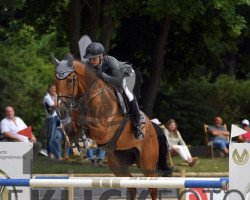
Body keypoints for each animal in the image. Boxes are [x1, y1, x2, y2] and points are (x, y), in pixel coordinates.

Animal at [52, 53, 173, 200]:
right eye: (55, 81)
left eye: (70, 80)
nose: (61, 111)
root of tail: (153, 128)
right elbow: (72, 125)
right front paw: (78, 144)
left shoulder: (104, 131)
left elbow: (85, 122)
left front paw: (87, 142)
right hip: (118, 164)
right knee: (131, 186)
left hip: (147, 163)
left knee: (153, 188)